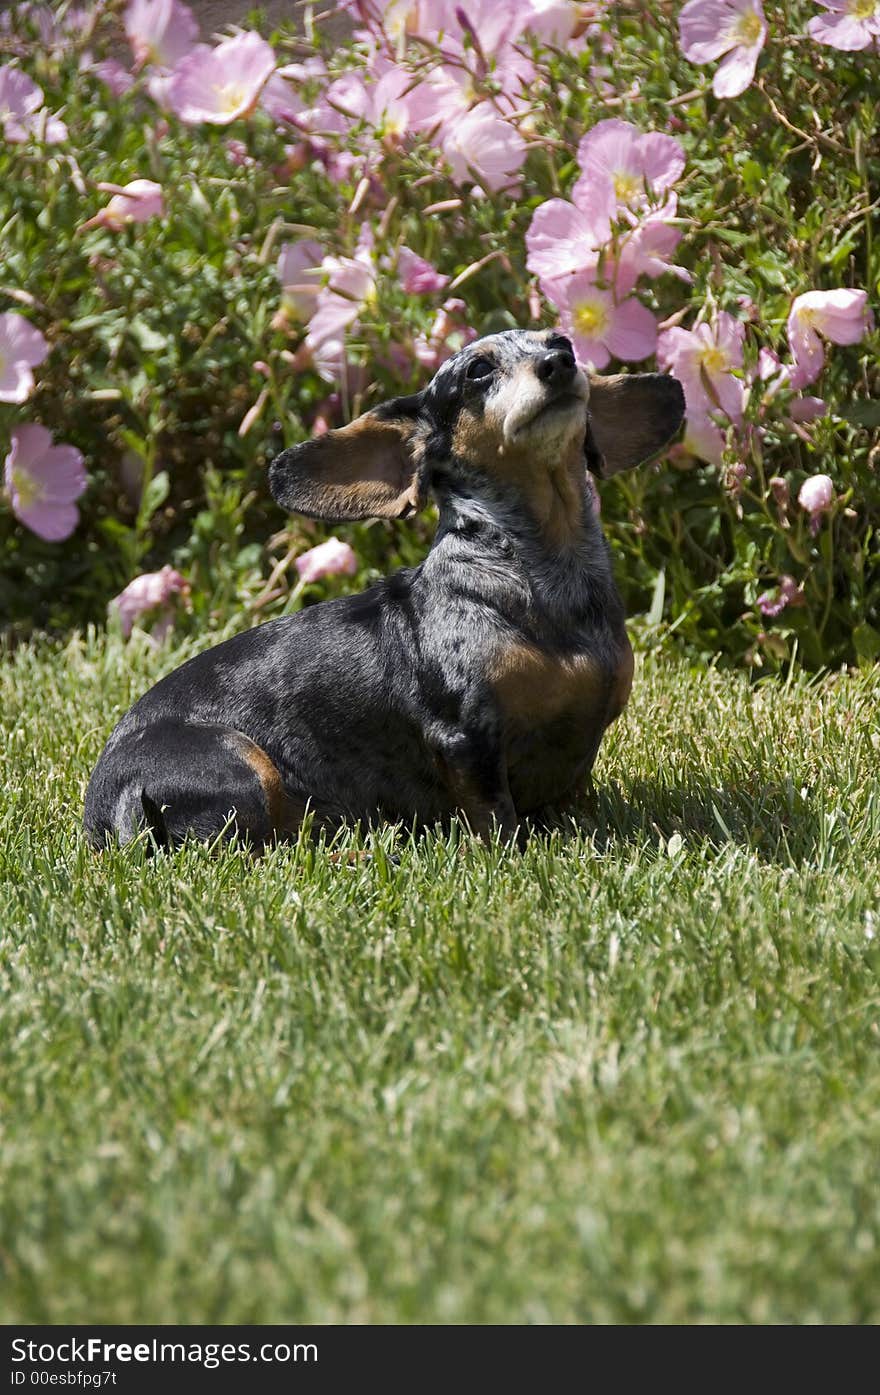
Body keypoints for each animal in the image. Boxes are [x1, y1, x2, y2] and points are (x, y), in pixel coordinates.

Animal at [82, 330, 686, 842]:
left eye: (562, 342)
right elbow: (497, 821)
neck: (538, 575)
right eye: (478, 370)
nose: (559, 364)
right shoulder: (466, 740)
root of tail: (101, 810)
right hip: (243, 768)